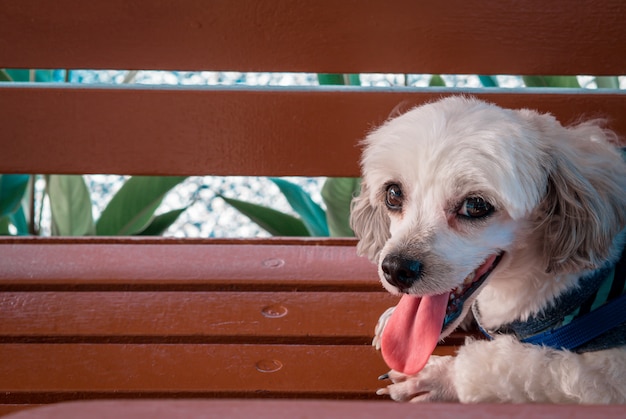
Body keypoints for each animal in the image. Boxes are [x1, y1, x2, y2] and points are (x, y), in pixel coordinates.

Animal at [352, 97, 624, 406]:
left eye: (475, 205)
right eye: (393, 194)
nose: (396, 269)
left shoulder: (604, 371)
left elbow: (518, 366)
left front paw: (439, 377)